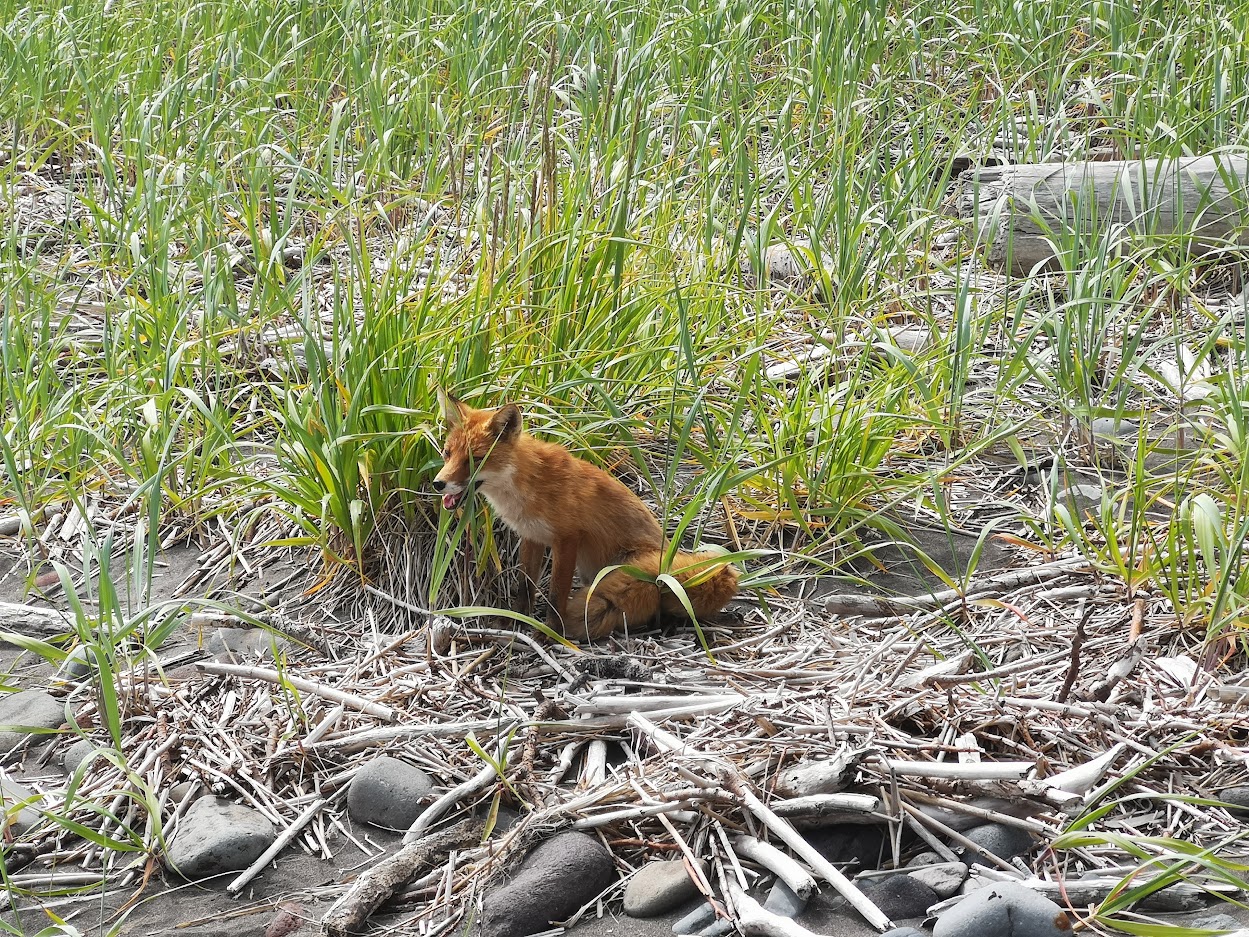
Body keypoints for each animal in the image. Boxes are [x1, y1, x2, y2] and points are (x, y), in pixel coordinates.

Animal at [432, 392, 734, 644]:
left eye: (474, 460)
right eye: (447, 454)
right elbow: (525, 587)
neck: (527, 487)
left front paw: (550, 633)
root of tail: (668, 562)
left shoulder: (567, 538)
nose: (437, 484)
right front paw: (515, 621)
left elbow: (556, 594)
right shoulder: (531, 536)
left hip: (628, 569)